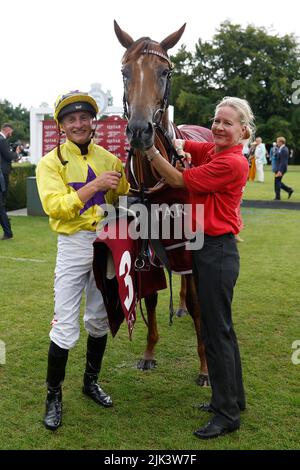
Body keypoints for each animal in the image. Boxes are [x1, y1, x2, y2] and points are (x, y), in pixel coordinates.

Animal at [114, 20, 211, 386]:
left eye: (165, 71)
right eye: (125, 71)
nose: (140, 130)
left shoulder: (189, 241)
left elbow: (199, 303)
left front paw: (205, 367)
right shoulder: (148, 240)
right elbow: (152, 295)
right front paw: (149, 351)